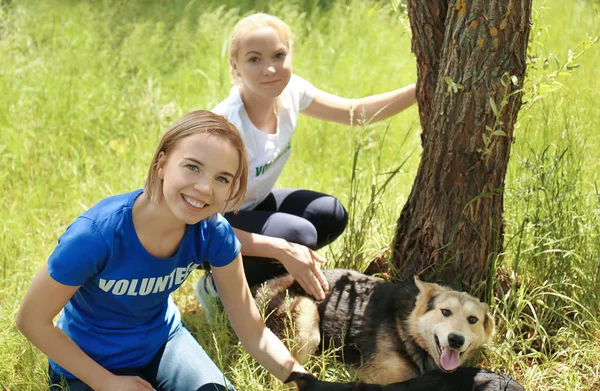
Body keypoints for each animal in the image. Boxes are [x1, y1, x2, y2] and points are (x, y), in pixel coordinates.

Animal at [255, 270, 494, 386]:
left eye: (472, 319)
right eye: (445, 312)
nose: (456, 340)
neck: (407, 329)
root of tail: (263, 287)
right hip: (307, 319)